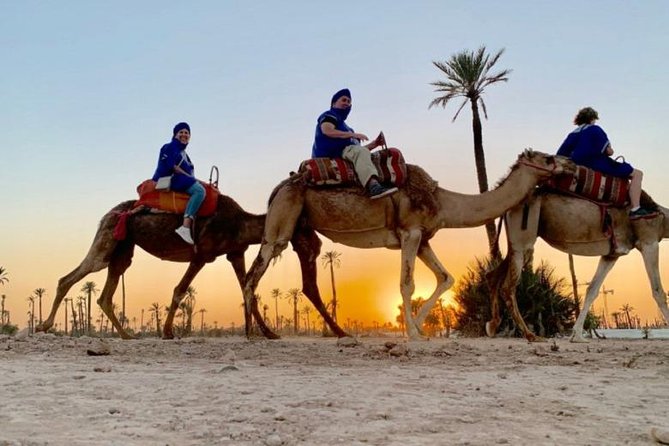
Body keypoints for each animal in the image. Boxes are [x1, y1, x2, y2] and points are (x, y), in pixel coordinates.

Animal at [36, 194, 348, 338]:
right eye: (306, 231)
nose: (319, 246)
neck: (240, 223)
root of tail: (106, 214)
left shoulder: (234, 254)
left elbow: (248, 290)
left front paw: (268, 333)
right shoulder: (203, 255)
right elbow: (179, 289)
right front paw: (167, 332)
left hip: (123, 250)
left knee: (104, 294)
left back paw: (126, 335)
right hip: (108, 239)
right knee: (70, 278)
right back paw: (43, 325)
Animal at [241, 148, 576, 340]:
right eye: (548, 158)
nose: (570, 164)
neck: (442, 201)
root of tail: (278, 188)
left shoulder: (424, 239)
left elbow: (445, 278)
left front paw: (422, 329)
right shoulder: (410, 233)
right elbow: (407, 283)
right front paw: (413, 333)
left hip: (303, 229)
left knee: (303, 281)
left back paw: (334, 332)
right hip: (283, 219)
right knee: (254, 273)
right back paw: (258, 334)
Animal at [486, 190, 668, 344]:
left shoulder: (612, 254)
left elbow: (592, 290)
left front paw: (577, 335)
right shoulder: (649, 242)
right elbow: (658, 291)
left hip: (516, 244)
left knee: (493, 275)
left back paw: (493, 326)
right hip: (523, 238)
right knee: (508, 287)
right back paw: (531, 335)